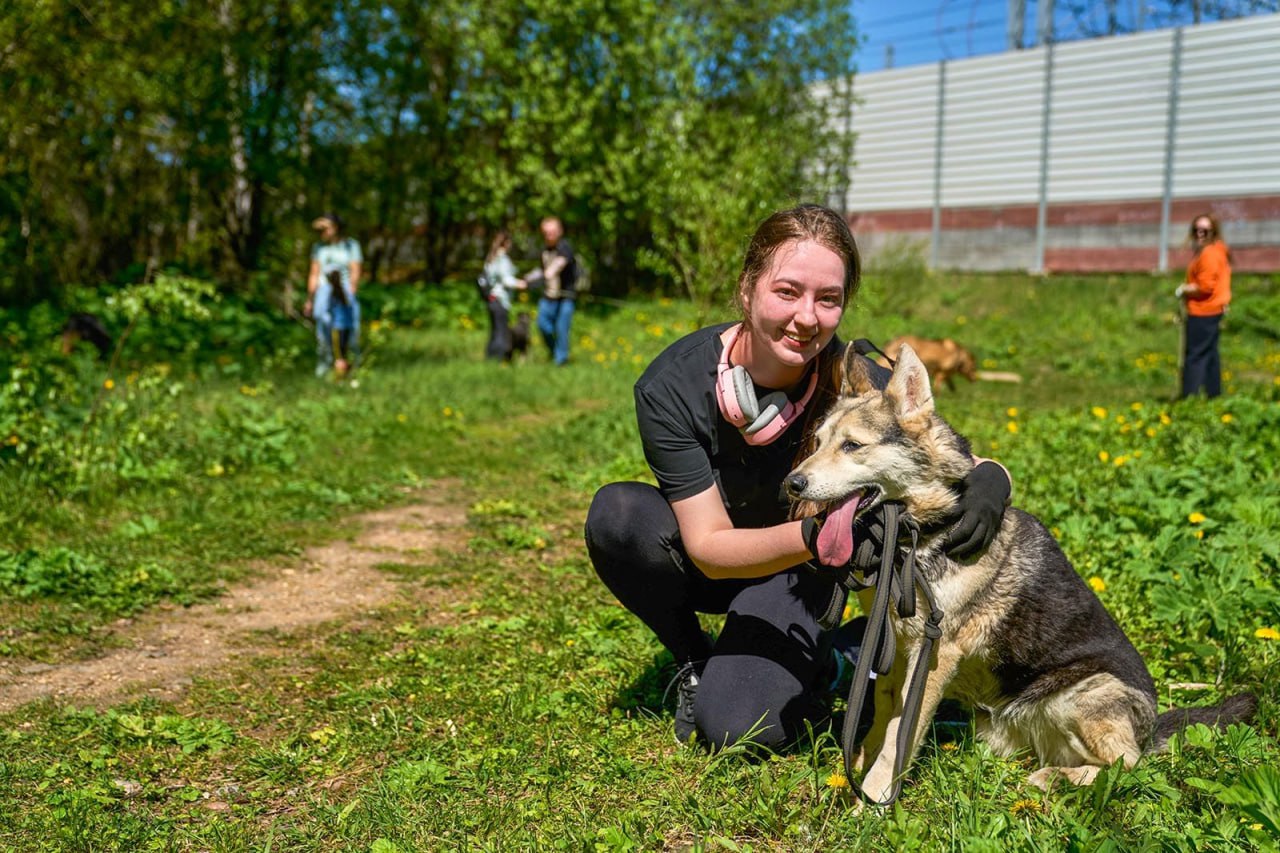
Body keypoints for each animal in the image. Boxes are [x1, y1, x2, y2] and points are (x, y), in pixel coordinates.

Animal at [783, 343, 1254, 799]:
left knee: (1129, 767)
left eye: (852, 446)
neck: (921, 533)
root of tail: (1151, 727)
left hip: (1084, 695)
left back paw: (1055, 779)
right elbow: (882, 714)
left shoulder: (933, 653)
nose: (792, 483)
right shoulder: (893, 642)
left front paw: (873, 802)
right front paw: (855, 769)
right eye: (818, 441)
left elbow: (900, 736)